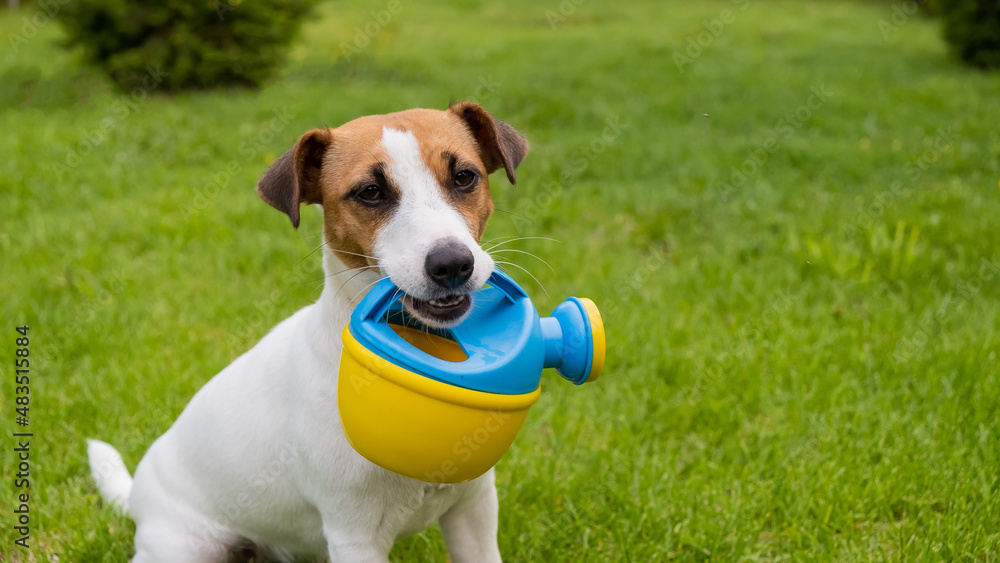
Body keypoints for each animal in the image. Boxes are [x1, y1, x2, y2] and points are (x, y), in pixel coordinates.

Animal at [88, 102, 532, 563]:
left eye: (464, 177)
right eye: (370, 192)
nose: (452, 264)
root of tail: (137, 495)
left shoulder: (473, 508)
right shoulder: (355, 535)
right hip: (188, 547)